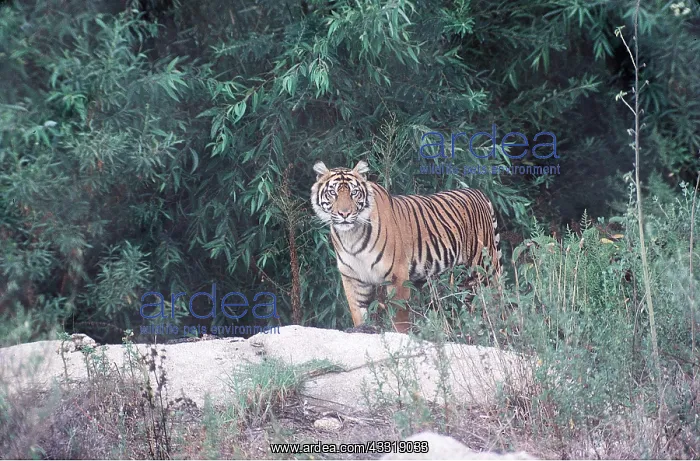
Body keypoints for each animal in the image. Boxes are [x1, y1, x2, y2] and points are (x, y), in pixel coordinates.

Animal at [310, 160, 502, 333]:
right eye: (333, 193)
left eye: (354, 193)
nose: (344, 214)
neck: (350, 235)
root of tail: (479, 192)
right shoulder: (353, 278)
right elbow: (358, 313)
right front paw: (363, 329)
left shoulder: (398, 274)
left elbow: (400, 317)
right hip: (466, 280)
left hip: (484, 269)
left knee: (498, 300)